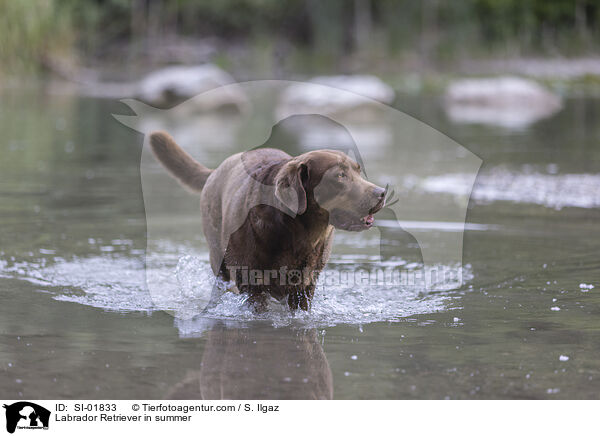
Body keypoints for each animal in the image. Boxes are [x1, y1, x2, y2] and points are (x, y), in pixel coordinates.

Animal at [149, 131, 384, 312]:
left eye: (358, 171)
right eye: (340, 176)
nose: (381, 192)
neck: (299, 233)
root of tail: (216, 170)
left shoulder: (306, 285)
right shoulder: (250, 283)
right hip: (218, 256)